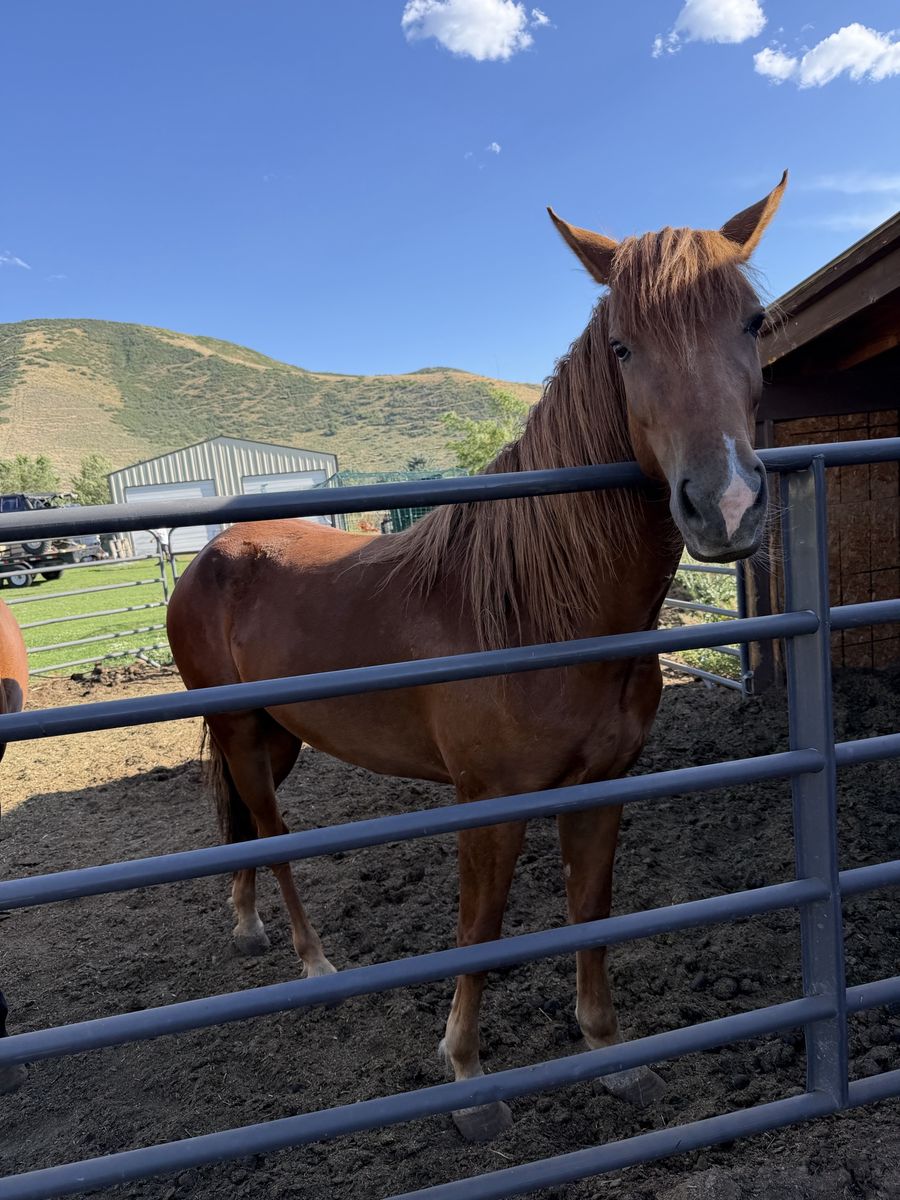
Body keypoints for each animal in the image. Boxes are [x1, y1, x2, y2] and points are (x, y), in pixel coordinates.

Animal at [167, 174, 786, 1142]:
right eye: (622, 346)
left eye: (753, 323)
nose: (723, 505)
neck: (543, 609)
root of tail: (212, 554)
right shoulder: (488, 803)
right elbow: (482, 928)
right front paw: (466, 1076)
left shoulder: (602, 787)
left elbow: (590, 913)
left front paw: (612, 1058)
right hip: (237, 729)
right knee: (269, 831)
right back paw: (314, 962)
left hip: (276, 734)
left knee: (239, 826)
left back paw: (247, 926)